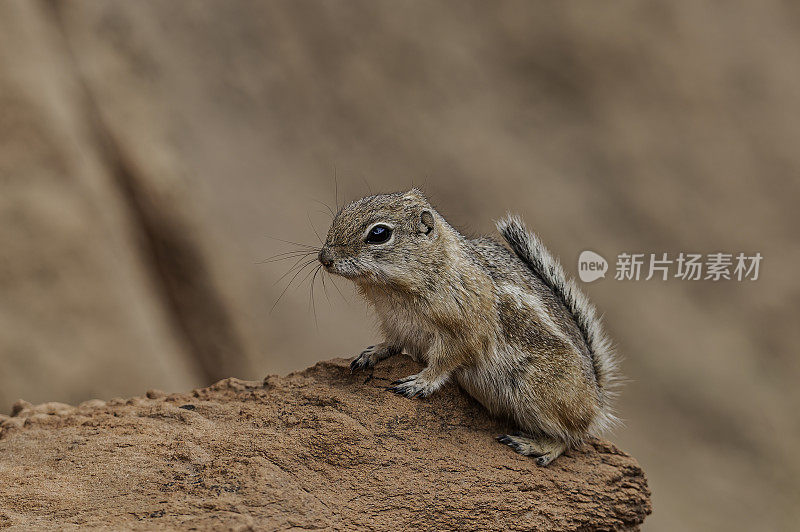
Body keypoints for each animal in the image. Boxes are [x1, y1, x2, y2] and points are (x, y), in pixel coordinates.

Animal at [318, 189, 620, 464]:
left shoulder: (463, 333)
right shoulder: (396, 325)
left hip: (536, 395)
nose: (324, 258)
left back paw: (535, 446)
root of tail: (596, 400)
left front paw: (419, 383)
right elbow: (391, 343)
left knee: (572, 437)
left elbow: (444, 362)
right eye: (342, 212)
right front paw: (371, 354)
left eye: (379, 233)